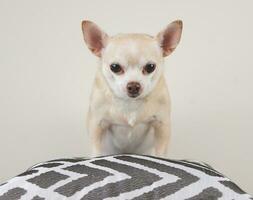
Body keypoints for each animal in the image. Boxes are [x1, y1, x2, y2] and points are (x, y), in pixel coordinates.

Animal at [82, 20, 183, 157]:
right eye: (115, 67)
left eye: (150, 67)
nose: (134, 86)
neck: (130, 103)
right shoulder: (96, 124)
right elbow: (96, 151)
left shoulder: (162, 124)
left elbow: (161, 152)